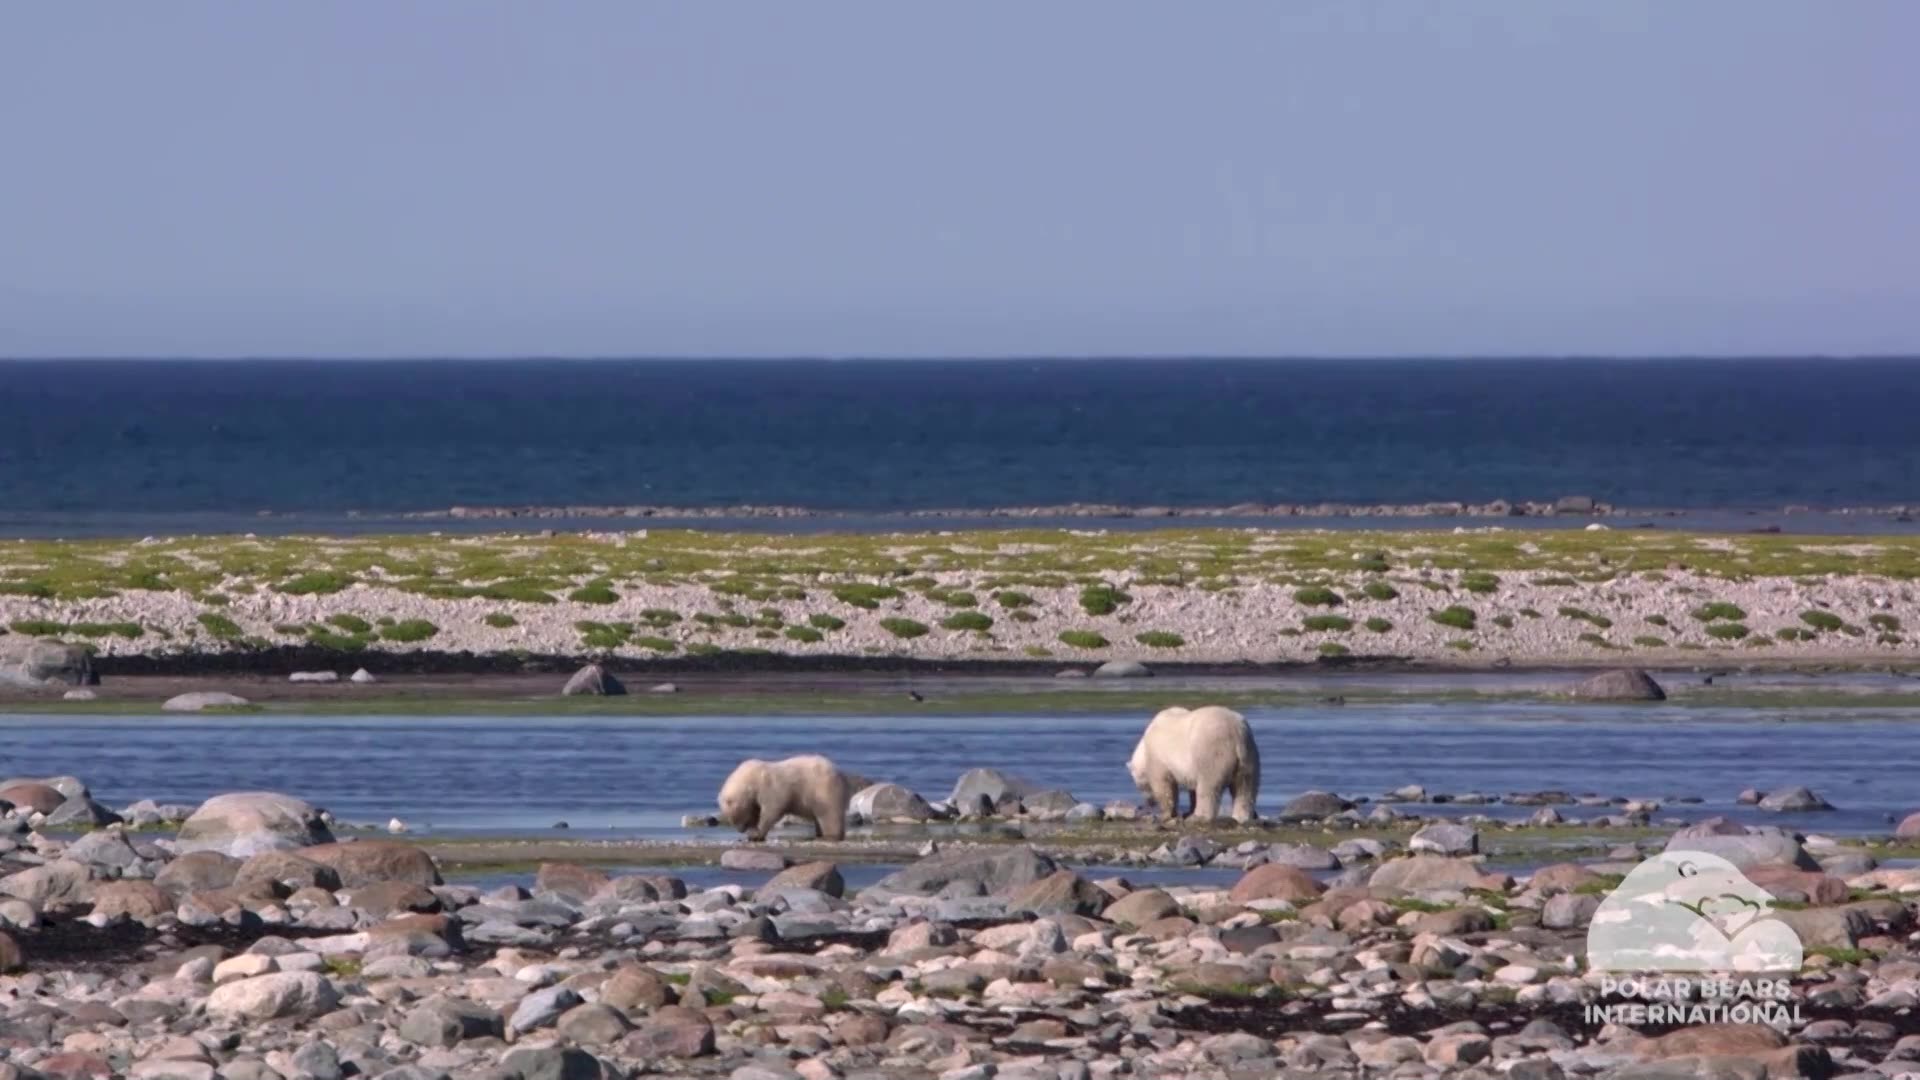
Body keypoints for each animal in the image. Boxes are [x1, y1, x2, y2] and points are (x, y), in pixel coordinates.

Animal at [717, 754, 854, 842]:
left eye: (733, 817)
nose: (740, 830)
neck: (753, 778)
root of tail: (842, 776)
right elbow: (756, 810)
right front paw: (753, 832)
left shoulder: (770, 787)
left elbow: (771, 811)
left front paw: (756, 835)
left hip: (823, 790)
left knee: (828, 814)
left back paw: (830, 836)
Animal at [1126, 705, 1260, 823]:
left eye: (1139, 785)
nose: (1149, 802)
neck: (1145, 746)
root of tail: (1235, 732)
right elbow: (1193, 788)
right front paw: (1188, 810)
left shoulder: (1158, 758)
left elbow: (1164, 786)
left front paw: (1166, 814)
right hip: (1249, 754)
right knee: (1245, 787)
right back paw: (1242, 817)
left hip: (1212, 751)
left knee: (1209, 786)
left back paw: (1199, 816)